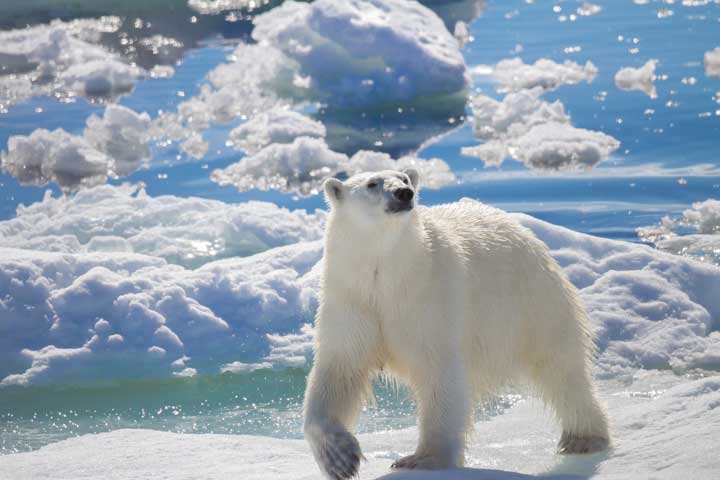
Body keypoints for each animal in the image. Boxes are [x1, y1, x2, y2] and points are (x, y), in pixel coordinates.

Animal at [303, 169, 610, 479]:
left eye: (404, 178)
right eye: (372, 184)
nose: (404, 193)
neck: (388, 277)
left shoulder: (428, 297)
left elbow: (438, 373)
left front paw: (425, 458)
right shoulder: (352, 299)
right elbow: (339, 371)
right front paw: (339, 458)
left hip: (531, 301)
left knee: (561, 367)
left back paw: (584, 437)